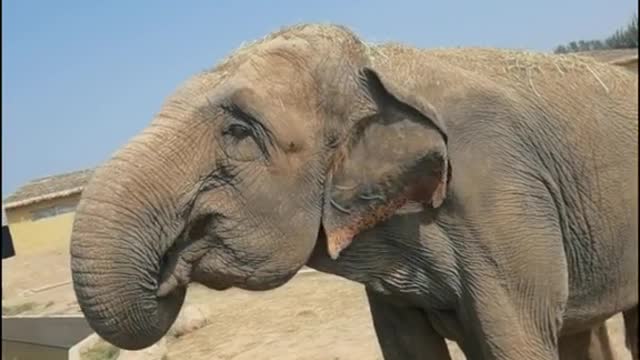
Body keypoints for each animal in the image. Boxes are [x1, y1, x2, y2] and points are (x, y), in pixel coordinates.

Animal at [67, 23, 636, 360]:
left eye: (240, 131)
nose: (167, 268)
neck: (375, 61)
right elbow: (406, 346)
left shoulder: (502, 199)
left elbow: (515, 340)